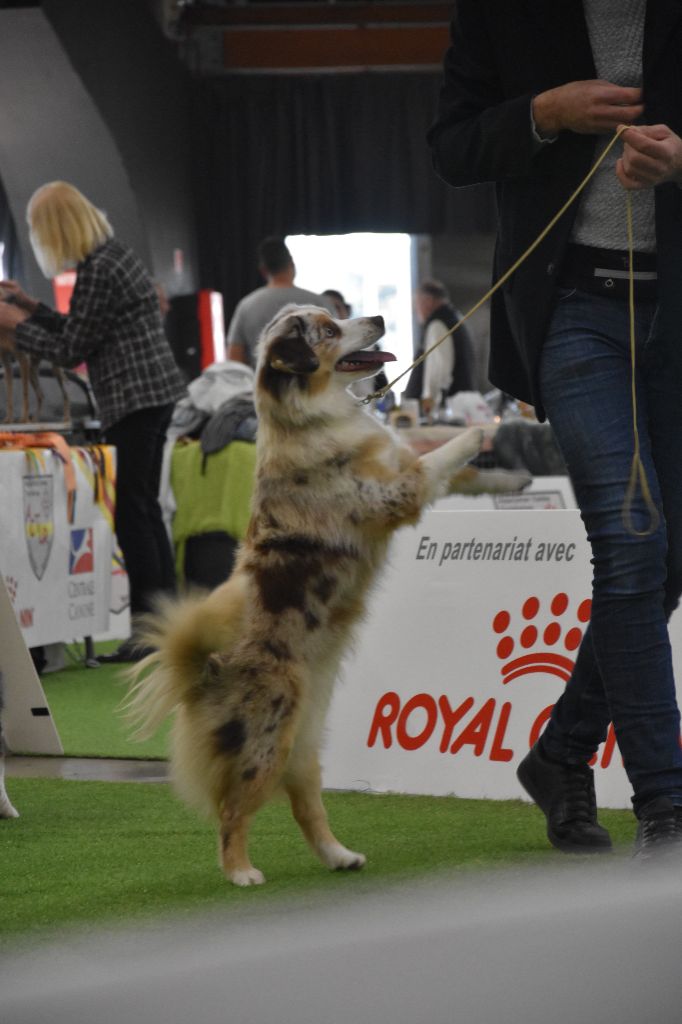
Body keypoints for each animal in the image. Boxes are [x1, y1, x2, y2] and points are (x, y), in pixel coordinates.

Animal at [124, 301, 481, 880]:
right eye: (330, 329)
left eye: (336, 314)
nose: (381, 318)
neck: (311, 419)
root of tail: (205, 671)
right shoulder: (394, 493)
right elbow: (435, 460)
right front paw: (483, 432)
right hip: (267, 740)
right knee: (233, 811)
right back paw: (240, 871)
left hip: (304, 743)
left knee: (305, 808)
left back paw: (341, 856)